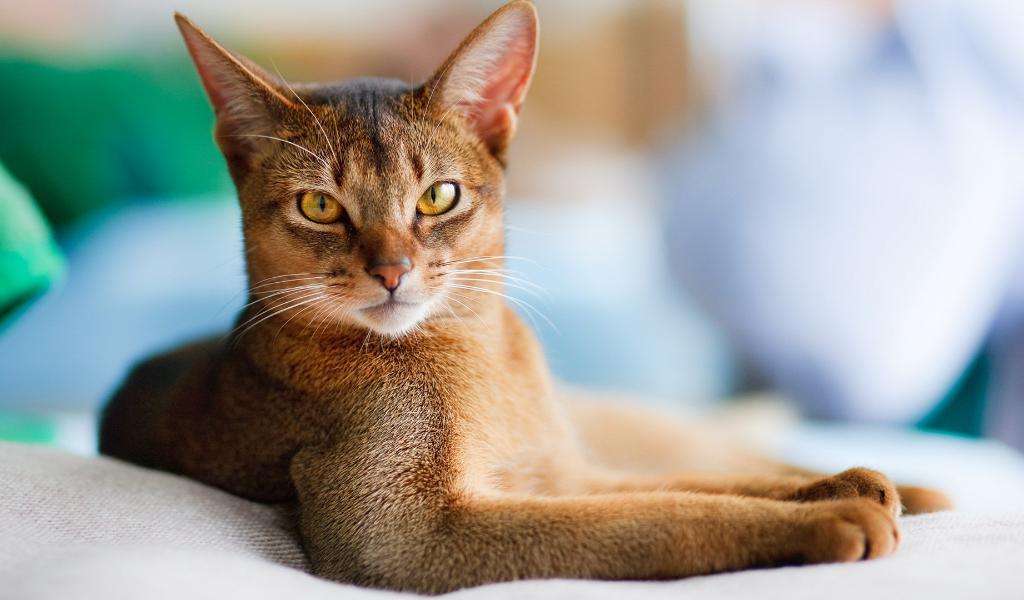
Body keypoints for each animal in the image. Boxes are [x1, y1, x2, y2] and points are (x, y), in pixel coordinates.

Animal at [99, 2, 946, 593]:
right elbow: (661, 516)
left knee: (726, 450)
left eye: (438, 197)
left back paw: (909, 483)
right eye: (319, 207)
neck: (476, 357)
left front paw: (846, 487)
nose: (392, 270)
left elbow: (702, 486)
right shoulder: (406, 534)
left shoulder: (566, 473)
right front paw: (836, 515)